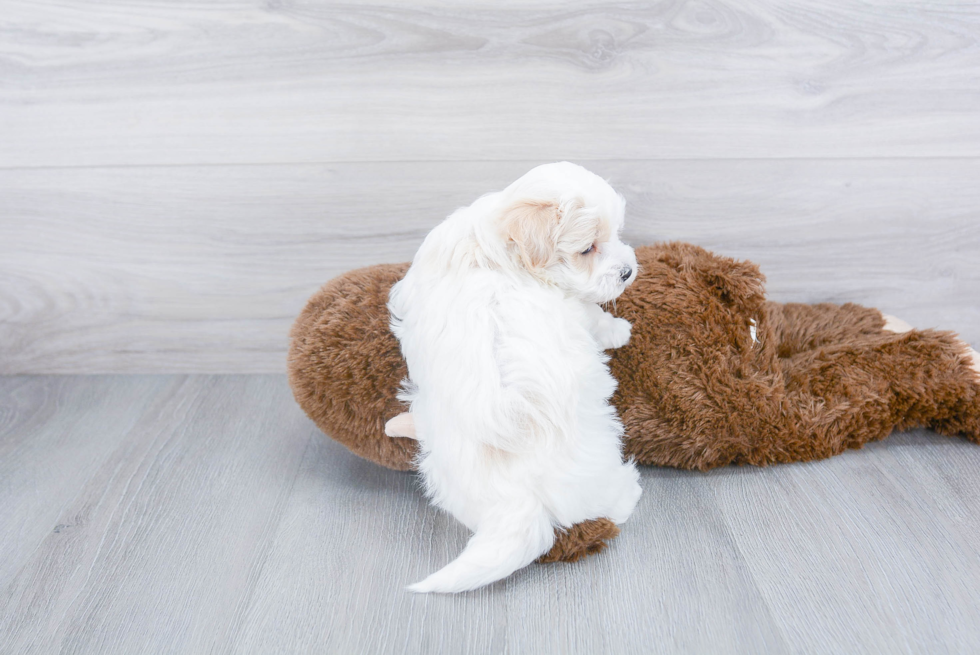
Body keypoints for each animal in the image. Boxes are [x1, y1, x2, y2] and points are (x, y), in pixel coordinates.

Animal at [386, 163, 648, 596]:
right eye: (587, 249)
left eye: (615, 235)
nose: (627, 272)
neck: (495, 247)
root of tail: (518, 495)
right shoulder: (573, 306)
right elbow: (593, 315)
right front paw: (619, 330)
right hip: (601, 461)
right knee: (608, 503)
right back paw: (631, 489)